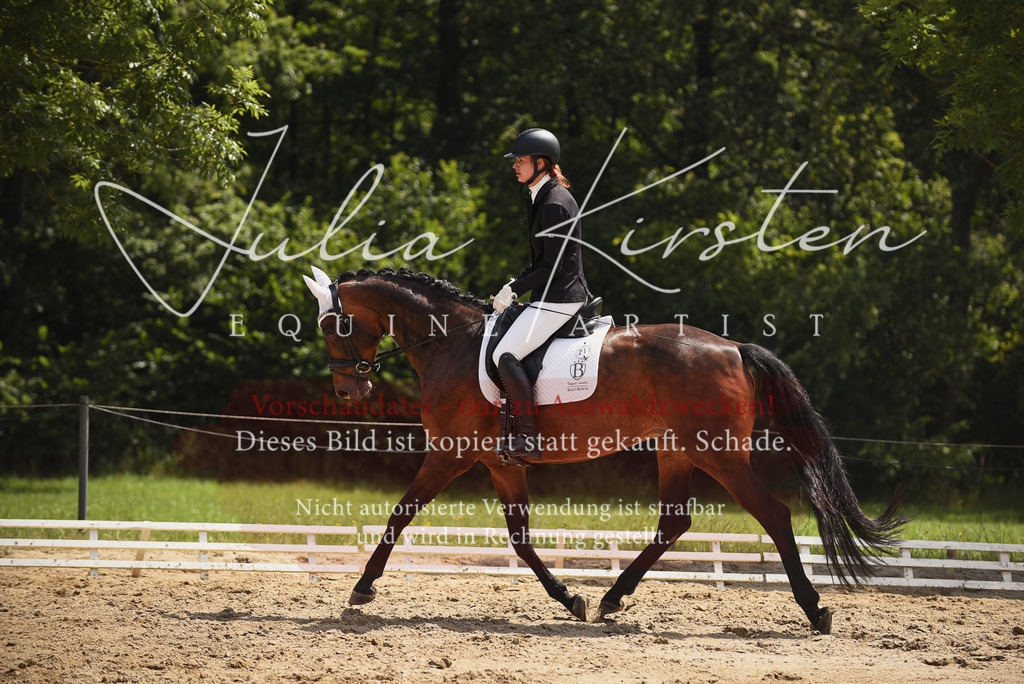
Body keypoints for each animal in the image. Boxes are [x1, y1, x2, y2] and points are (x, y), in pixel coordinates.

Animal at [302, 266, 904, 633]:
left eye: (333, 326)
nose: (350, 392)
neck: (451, 341)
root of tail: (734, 346)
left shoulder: (451, 453)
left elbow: (400, 514)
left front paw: (362, 588)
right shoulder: (500, 463)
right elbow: (520, 539)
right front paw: (571, 598)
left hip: (719, 454)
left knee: (774, 515)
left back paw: (814, 609)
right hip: (676, 450)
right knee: (675, 521)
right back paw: (614, 596)